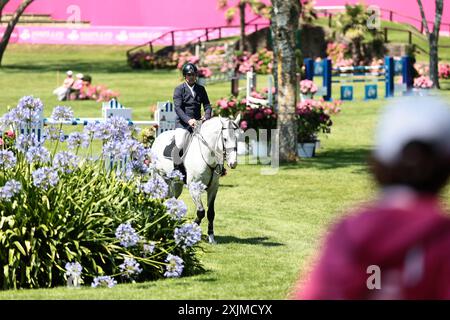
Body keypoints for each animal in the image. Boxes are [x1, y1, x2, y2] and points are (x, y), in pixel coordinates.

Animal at [151, 116, 241, 244]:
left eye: (237, 138)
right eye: (225, 139)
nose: (233, 163)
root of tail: (158, 137)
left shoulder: (213, 188)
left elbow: (210, 213)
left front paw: (211, 237)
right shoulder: (194, 188)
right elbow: (201, 211)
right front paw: (191, 230)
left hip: (177, 184)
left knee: (171, 200)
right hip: (160, 177)